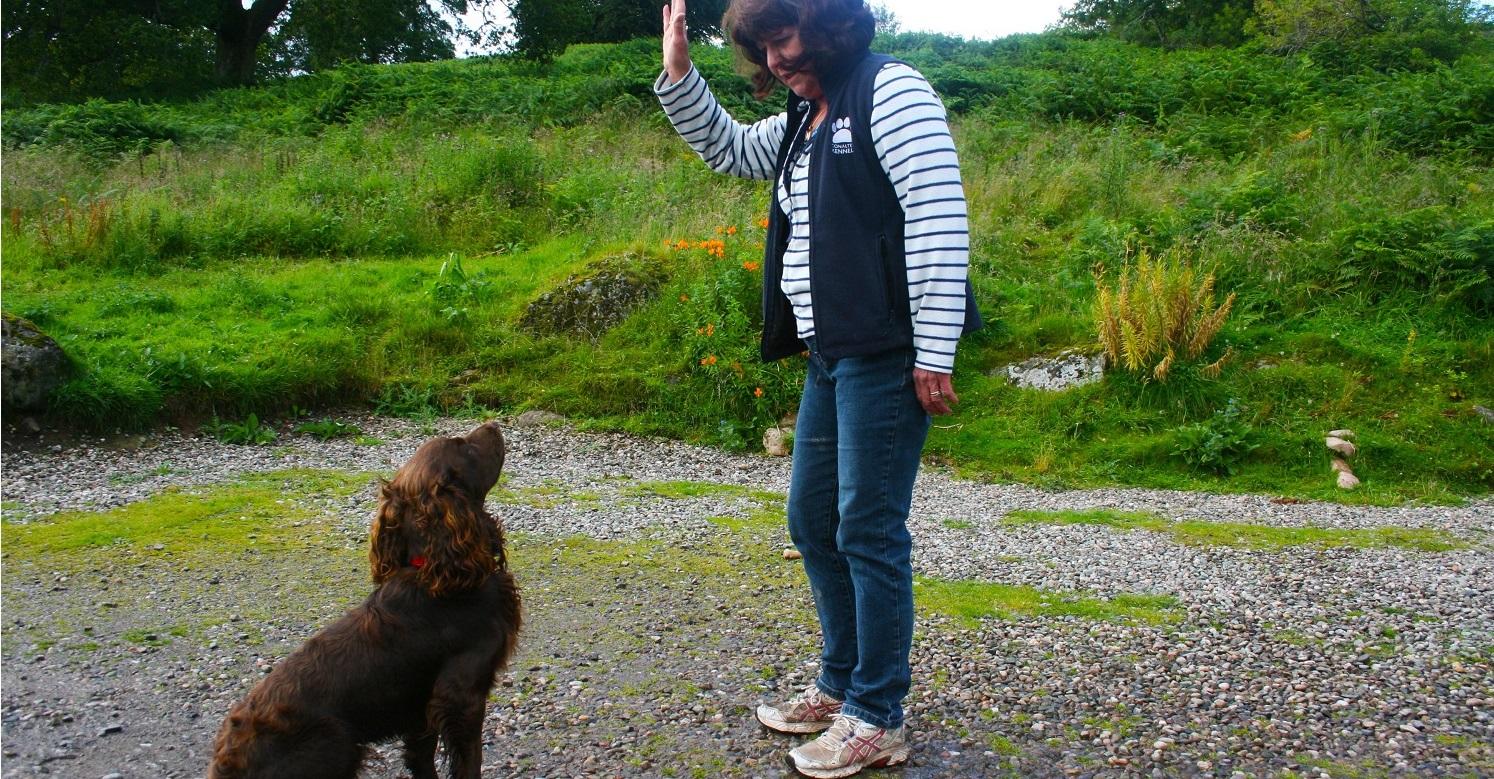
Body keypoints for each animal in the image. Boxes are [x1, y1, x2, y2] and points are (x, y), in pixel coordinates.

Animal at [210, 421, 522, 771]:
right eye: (462, 445)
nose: (493, 423)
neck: (435, 572)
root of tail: (226, 760)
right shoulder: (461, 695)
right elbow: (469, 763)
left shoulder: (420, 708)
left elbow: (421, 758)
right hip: (338, 743)